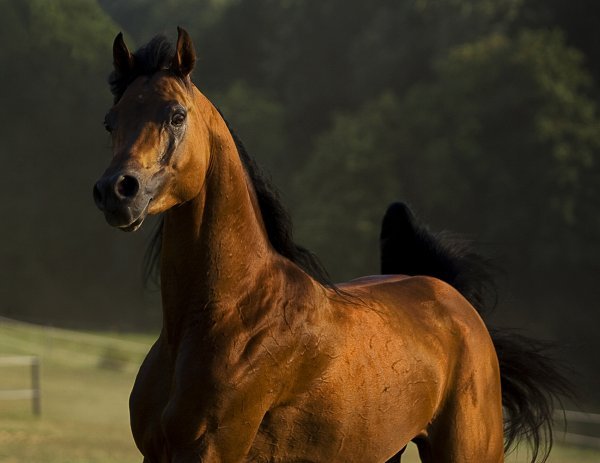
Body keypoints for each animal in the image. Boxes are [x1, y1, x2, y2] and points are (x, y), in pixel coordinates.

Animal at [92, 28, 568, 460]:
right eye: (110, 120)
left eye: (176, 115)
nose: (116, 191)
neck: (229, 314)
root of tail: (454, 300)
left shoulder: (210, 453)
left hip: (468, 452)